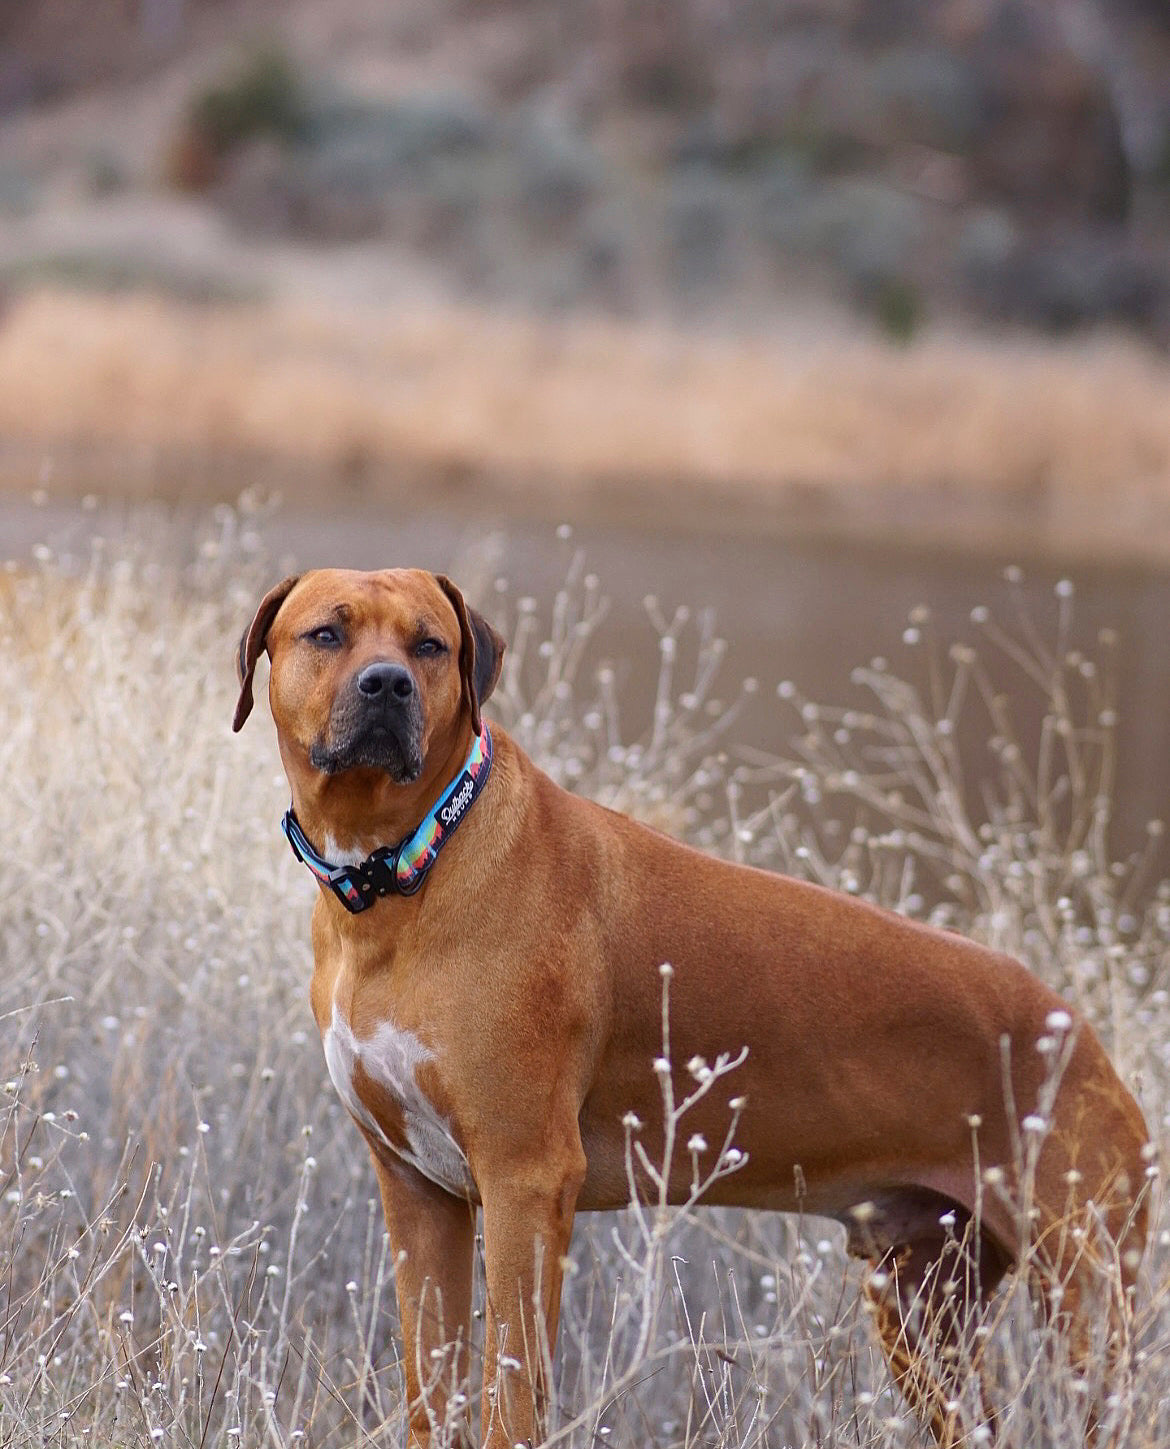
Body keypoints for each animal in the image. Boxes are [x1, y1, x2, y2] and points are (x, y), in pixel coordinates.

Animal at [233, 568, 1148, 1449]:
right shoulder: (419, 1193)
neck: (407, 865)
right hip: (922, 1310)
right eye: (328, 633)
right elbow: (434, 1394)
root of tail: (1082, 1034)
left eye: (430, 645)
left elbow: (512, 1398)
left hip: (1091, 1308)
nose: (387, 684)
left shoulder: (525, 1180)